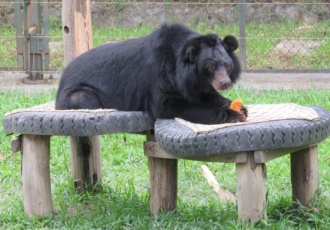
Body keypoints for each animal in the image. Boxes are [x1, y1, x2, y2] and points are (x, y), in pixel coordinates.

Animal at [56, 23, 248, 124]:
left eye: (227, 65)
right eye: (210, 67)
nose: (224, 83)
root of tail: (62, 77)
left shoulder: (194, 84)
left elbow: (204, 95)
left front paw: (236, 105)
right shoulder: (161, 77)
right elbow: (168, 105)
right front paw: (233, 114)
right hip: (78, 94)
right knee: (83, 98)